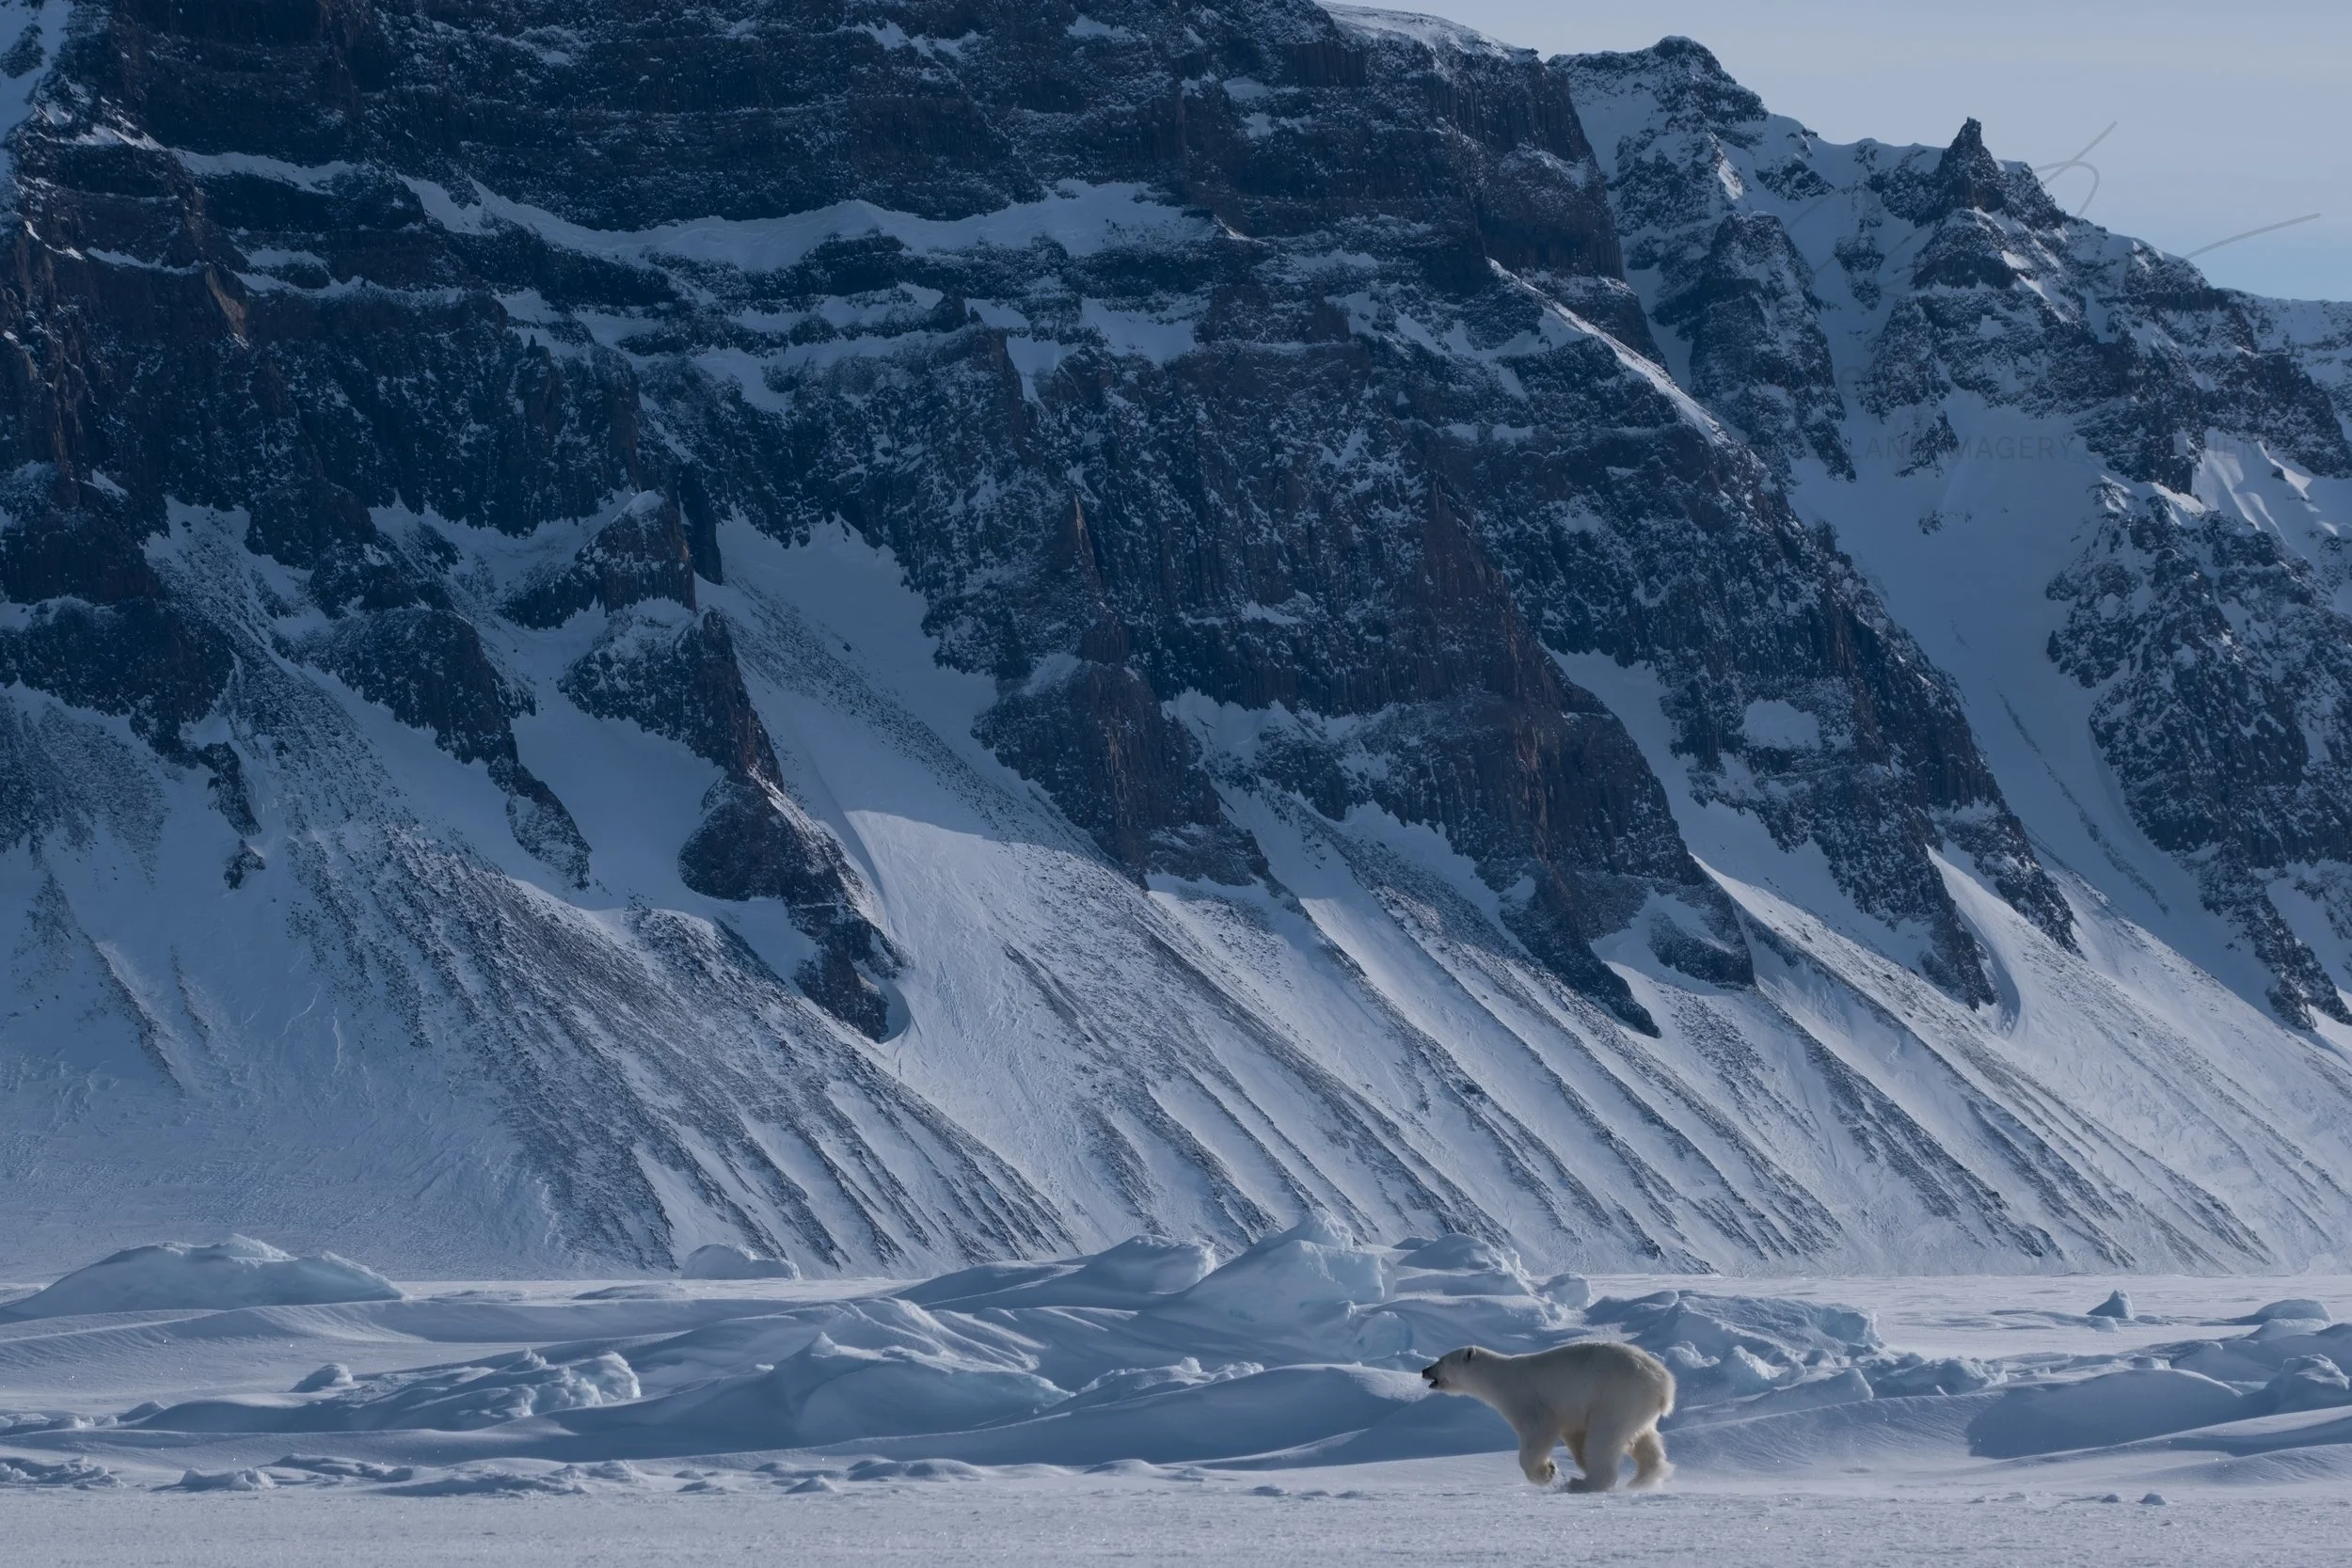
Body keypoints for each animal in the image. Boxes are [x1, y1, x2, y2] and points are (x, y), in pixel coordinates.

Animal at [1421, 1340, 1676, 1490]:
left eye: (1441, 1360)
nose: (1424, 1370)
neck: (1499, 1377)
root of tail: (1664, 1383)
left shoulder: (1526, 1399)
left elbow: (1539, 1431)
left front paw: (1546, 1473)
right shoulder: (1571, 1412)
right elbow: (1574, 1435)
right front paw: (1567, 1465)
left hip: (1616, 1396)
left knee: (1605, 1437)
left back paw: (1584, 1484)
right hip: (1636, 1406)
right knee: (1644, 1439)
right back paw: (1641, 1479)